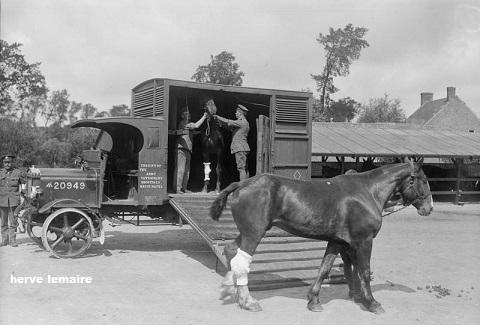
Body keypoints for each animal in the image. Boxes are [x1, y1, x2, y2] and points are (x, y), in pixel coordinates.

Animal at [208, 159, 434, 312]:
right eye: (423, 180)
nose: (429, 208)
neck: (367, 192)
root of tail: (241, 184)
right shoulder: (363, 241)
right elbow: (363, 271)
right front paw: (372, 303)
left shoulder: (336, 241)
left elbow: (325, 268)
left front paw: (314, 300)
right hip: (253, 233)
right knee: (241, 260)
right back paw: (247, 301)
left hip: (246, 232)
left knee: (230, 250)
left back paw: (231, 288)